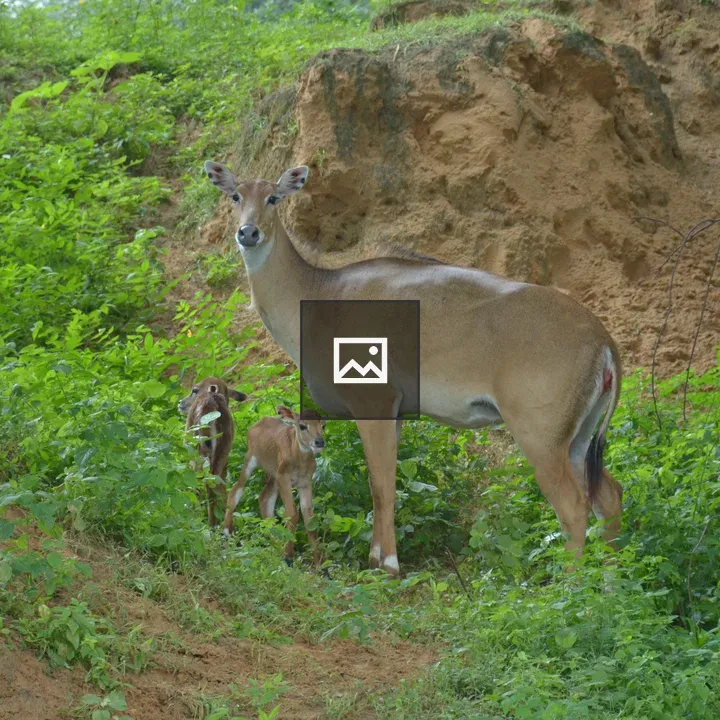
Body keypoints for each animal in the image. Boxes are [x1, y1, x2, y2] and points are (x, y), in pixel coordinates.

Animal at [178, 376, 247, 527]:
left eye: (195, 389)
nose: (180, 402)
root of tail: (211, 401)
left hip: (198, 449)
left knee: (203, 480)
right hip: (222, 450)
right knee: (216, 481)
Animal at [223, 406, 326, 567]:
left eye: (323, 425)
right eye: (302, 425)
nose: (319, 442)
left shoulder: (305, 482)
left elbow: (309, 519)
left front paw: (320, 565)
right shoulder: (283, 477)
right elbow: (292, 514)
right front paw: (288, 557)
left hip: (272, 475)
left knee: (264, 498)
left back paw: (275, 545)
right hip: (251, 459)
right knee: (235, 490)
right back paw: (227, 531)